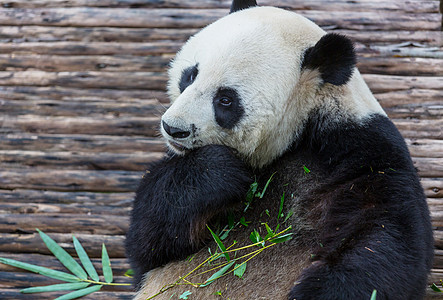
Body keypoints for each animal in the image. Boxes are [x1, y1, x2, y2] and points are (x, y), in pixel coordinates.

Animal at [125, 1, 434, 298]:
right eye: (189, 76)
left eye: (225, 99)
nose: (173, 128)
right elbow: (148, 243)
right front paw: (218, 172)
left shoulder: (362, 151)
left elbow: (386, 241)